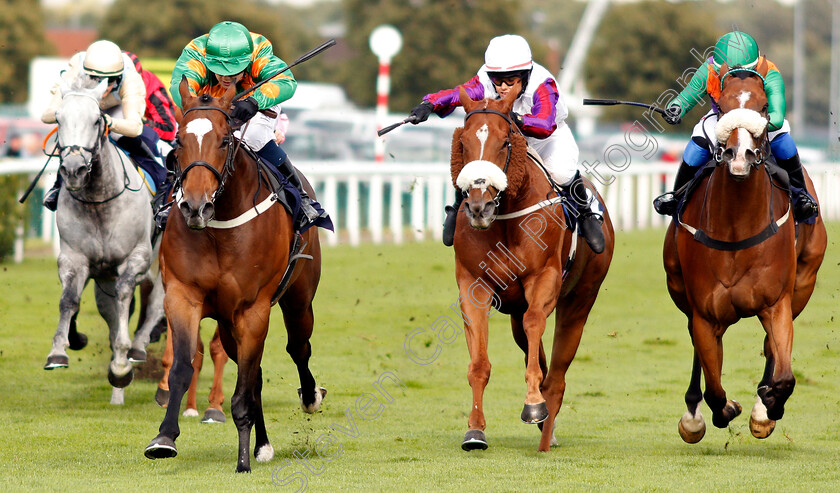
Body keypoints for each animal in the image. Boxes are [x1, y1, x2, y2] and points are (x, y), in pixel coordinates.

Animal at [43, 73, 165, 404]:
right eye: (58, 118)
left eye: (97, 120)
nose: (73, 169)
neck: (99, 201)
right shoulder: (74, 259)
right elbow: (68, 300)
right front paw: (59, 351)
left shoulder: (137, 257)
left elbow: (126, 293)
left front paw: (123, 362)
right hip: (103, 281)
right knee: (112, 313)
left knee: (157, 304)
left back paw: (136, 349)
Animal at [143, 79, 326, 470]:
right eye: (178, 141)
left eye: (225, 140)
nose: (196, 206)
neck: (219, 227)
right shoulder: (183, 295)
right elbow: (184, 366)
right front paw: (164, 437)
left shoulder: (252, 309)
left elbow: (246, 382)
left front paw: (242, 460)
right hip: (228, 322)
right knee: (253, 372)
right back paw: (263, 445)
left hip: (298, 299)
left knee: (297, 347)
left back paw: (309, 397)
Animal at [450, 87, 612, 450]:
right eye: (463, 142)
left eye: (504, 142)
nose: (479, 207)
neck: (505, 219)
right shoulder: (473, 286)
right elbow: (479, 363)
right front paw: (475, 429)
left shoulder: (544, 279)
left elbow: (536, 322)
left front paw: (534, 405)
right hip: (514, 310)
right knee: (535, 353)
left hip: (580, 300)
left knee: (557, 374)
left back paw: (545, 422)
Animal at [664, 62, 828, 442]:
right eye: (722, 107)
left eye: (764, 107)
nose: (740, 157)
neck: (736, 228)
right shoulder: (704, 312)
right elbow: (713, 386)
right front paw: (719, 410)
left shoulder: (777, 302)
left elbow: (784, 375)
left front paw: (768, 407)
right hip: (680, 291)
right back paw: (693, 414)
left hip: (803, 283)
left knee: (770, 348)